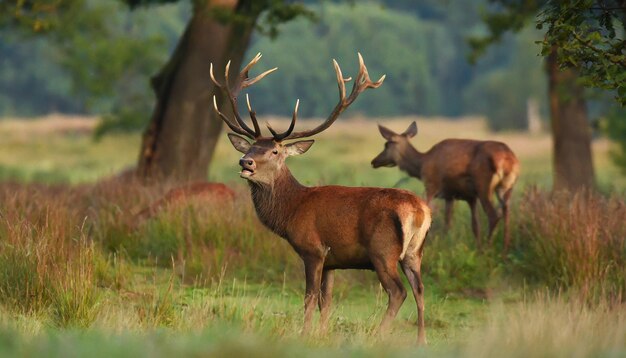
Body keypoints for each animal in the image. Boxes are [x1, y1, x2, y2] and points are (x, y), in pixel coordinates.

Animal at [210, 53, 428, 344]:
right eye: (252, 146)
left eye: (275, 151)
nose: (246, 162)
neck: (291, 210)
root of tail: (420, 211)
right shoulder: (333, 260)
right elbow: (327, 300)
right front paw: (322, 334)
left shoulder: (313, 249)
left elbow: (309, 298)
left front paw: (304, 335)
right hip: (415, 252)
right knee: (420, 289)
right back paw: (421, 341)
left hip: (383, 250)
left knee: (397, 291)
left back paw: (376, 336)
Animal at [370, 121, 516, 253]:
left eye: (386, 145)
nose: (374, 161)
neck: (421, 165)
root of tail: (507, 160)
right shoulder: (460, 196)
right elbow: (466, 224)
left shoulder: (431, 185)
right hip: (506, 187)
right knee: (506, 212)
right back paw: (504, 250)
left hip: (483, 185)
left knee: (494, 215)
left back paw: (488, 248)